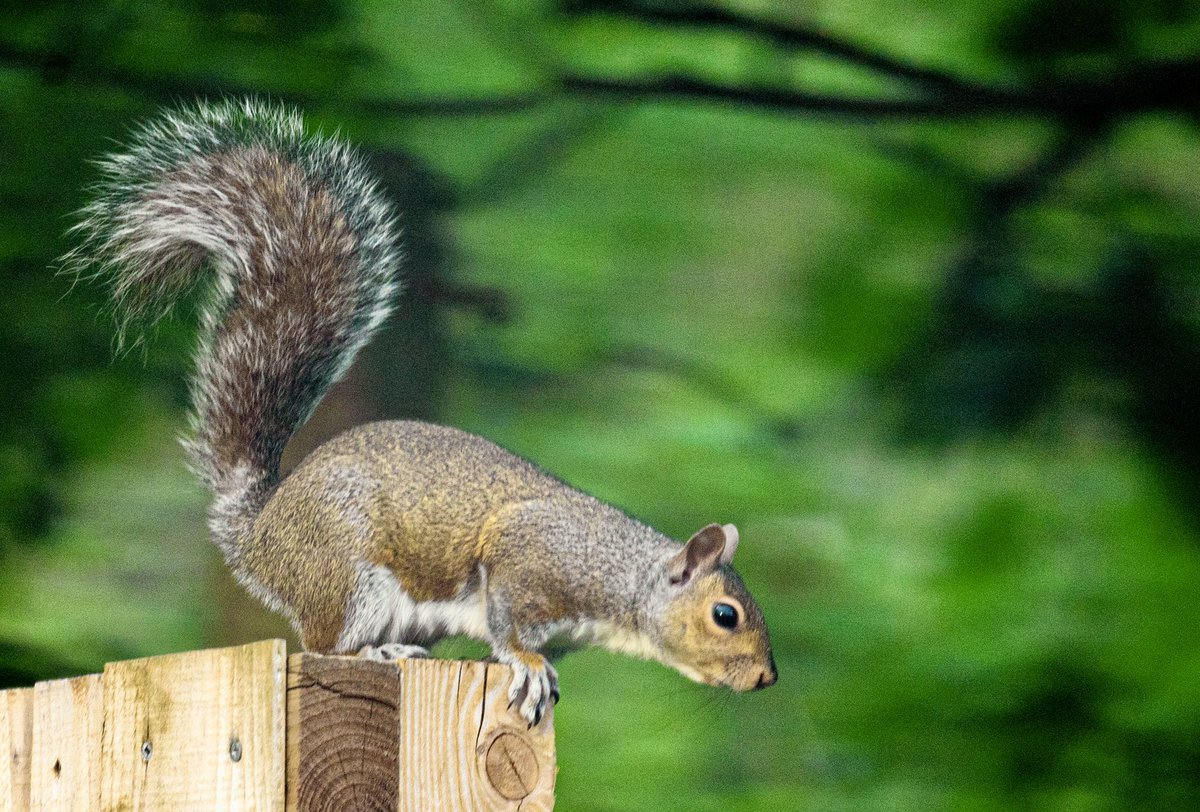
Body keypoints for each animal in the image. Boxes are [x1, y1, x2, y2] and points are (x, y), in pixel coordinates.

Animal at [64, 99, 777, 726]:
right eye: (726, 615)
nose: (768, 677)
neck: (620, 580)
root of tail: (260, 529)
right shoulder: (528, 561)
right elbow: (511, 626)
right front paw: (526, 663)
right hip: (348, 572)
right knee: (324, 645)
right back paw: (376, 650)